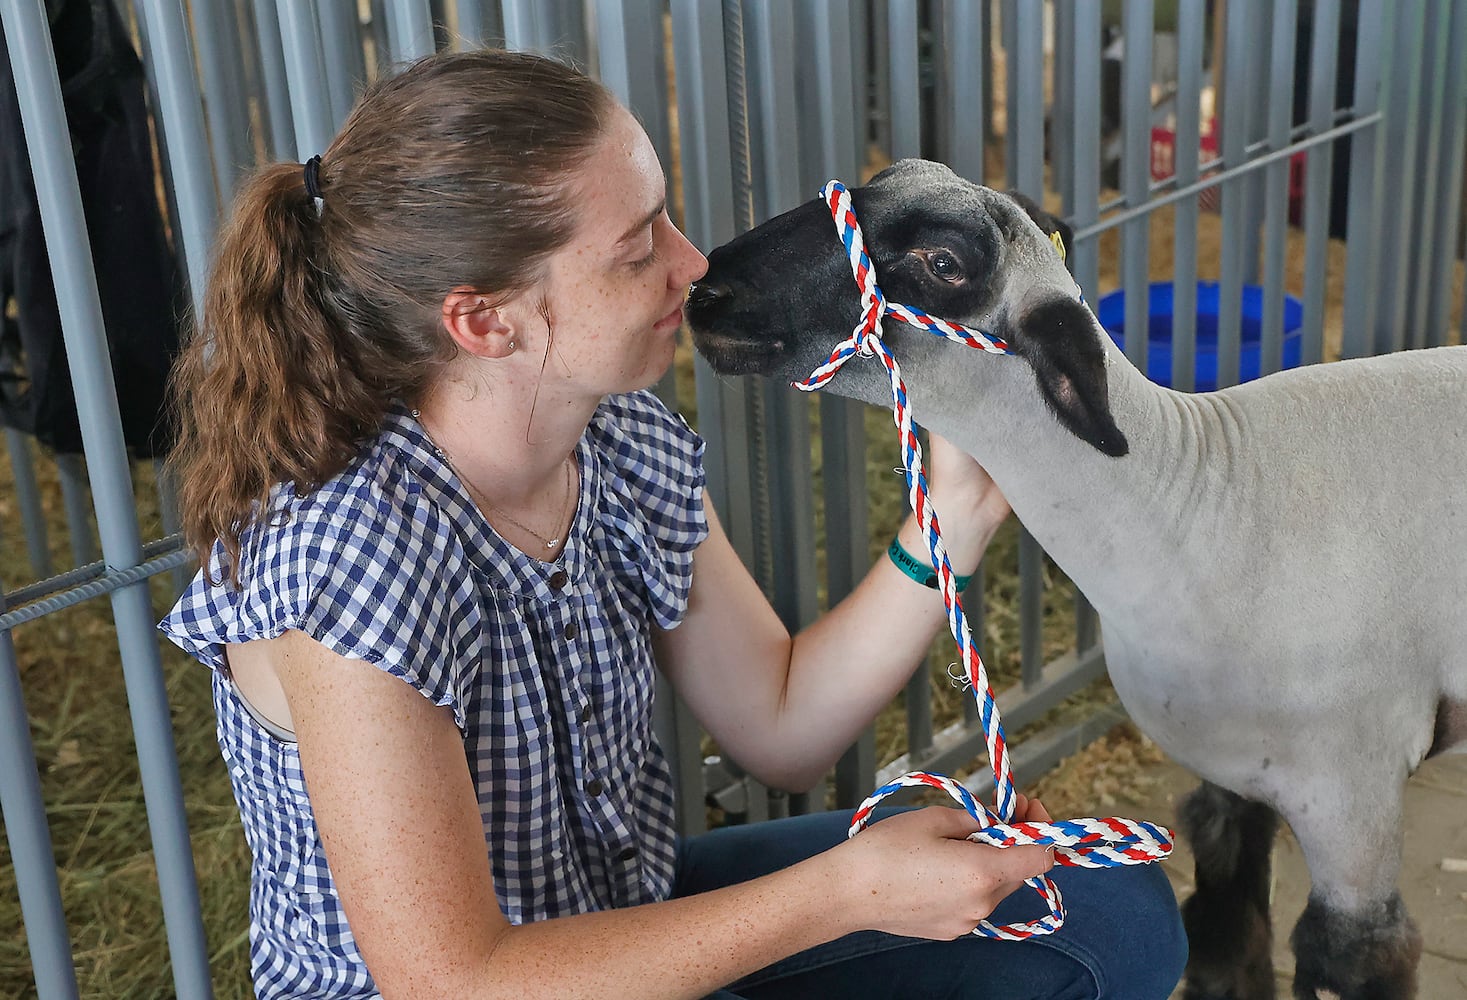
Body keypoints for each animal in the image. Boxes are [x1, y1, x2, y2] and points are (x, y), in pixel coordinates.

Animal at [686, 157, 1467, 997]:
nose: (708, 291)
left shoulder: (1350, 793)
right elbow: (1226, 928)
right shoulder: (1231, 769)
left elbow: (1352, 958)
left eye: (942, 263)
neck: (1205, 507)